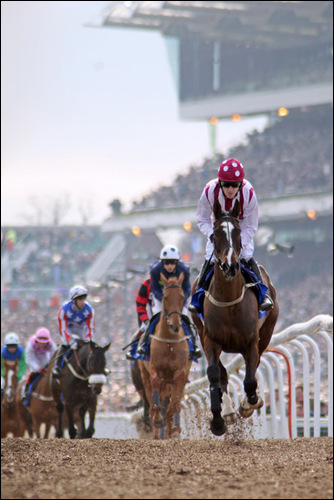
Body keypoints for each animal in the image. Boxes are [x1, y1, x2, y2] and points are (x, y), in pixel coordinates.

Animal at [138, 272, 190, 440]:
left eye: (182, 297)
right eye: (165, 297)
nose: (175, 325)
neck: (169, 342)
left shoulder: (180, 374)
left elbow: (174, 405)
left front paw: (175, 430)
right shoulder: (156, 371)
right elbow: (156, 404)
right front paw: (157, 420)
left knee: (170, 405)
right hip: (145, 376)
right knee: (152, 401)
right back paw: (156, 431)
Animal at [190, 198, 280, 434]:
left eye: (238, 232)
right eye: (215, 233)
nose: (230, 265)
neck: (229, 303)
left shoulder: (251, 342)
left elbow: (250, 379)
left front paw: (249, 404)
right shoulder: (210, 340)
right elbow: (215, 374)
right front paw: (218, 420)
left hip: (267, 331)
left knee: (254, 367)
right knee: (222, 373)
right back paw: (229, 412)